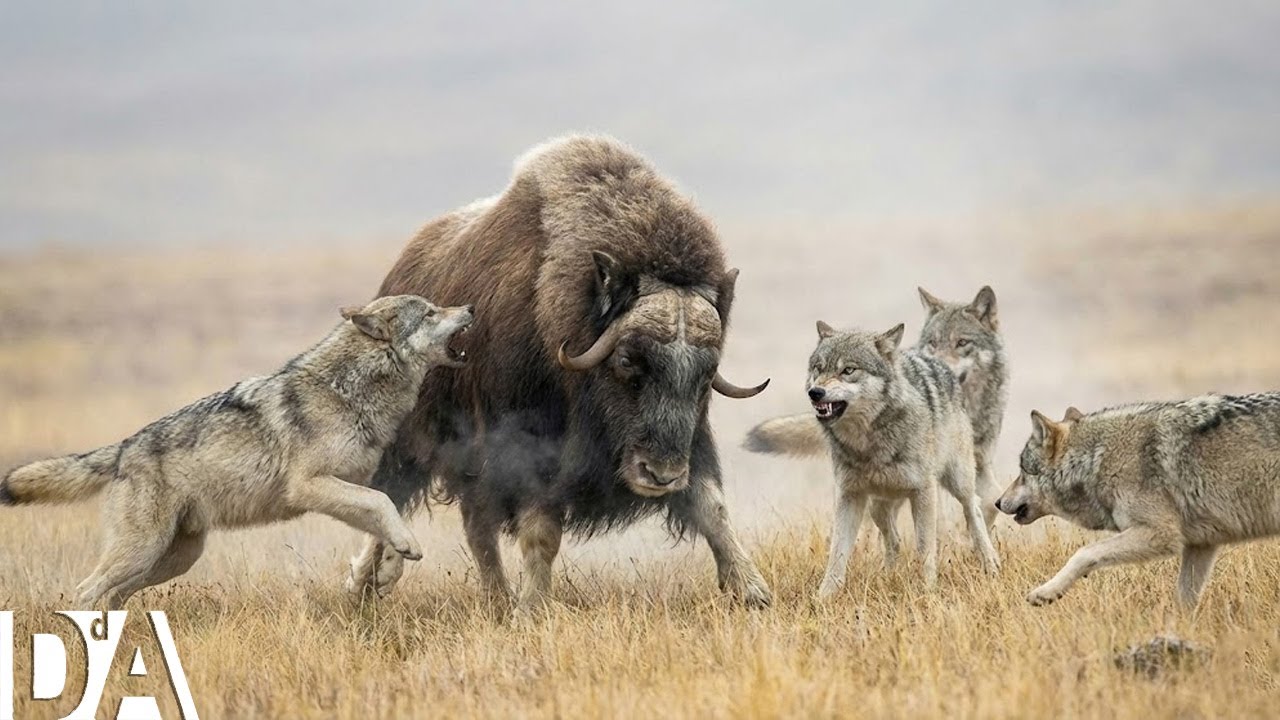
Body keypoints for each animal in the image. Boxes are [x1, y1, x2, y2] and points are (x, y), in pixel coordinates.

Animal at [1, 295, 474, 609]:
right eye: (430, 312)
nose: (470, 309)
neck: (348, 390)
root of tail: (123, 449)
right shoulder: (311, 487)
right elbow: (381, 504)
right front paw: (405, 548)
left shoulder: (348, 486)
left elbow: (384, 513)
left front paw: (395, 562)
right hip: (143, 552)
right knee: (86, 591)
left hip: (173, 559)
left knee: (112, 596)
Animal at [746, 322, 1000, 597]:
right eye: (818, 368)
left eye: (848, 370)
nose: (815, 392)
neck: (868, 443)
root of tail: (936, 361)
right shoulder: (849, 495)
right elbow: (837, 552)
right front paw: (824, 596)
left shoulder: (924, 492)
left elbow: (925, 548)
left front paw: (928, 591)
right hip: (877, 505)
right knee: (894, 541)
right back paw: (886, 574)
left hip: (957, 480)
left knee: (974, 509)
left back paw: (990, 562)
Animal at [997, 394, 1280, 608]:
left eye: (1022, 471)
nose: (997, 502)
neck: (1098, 459)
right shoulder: (1200, 544)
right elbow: (1184, 597)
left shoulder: (1160, 534)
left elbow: (1084, 553)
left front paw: (1046, 591)